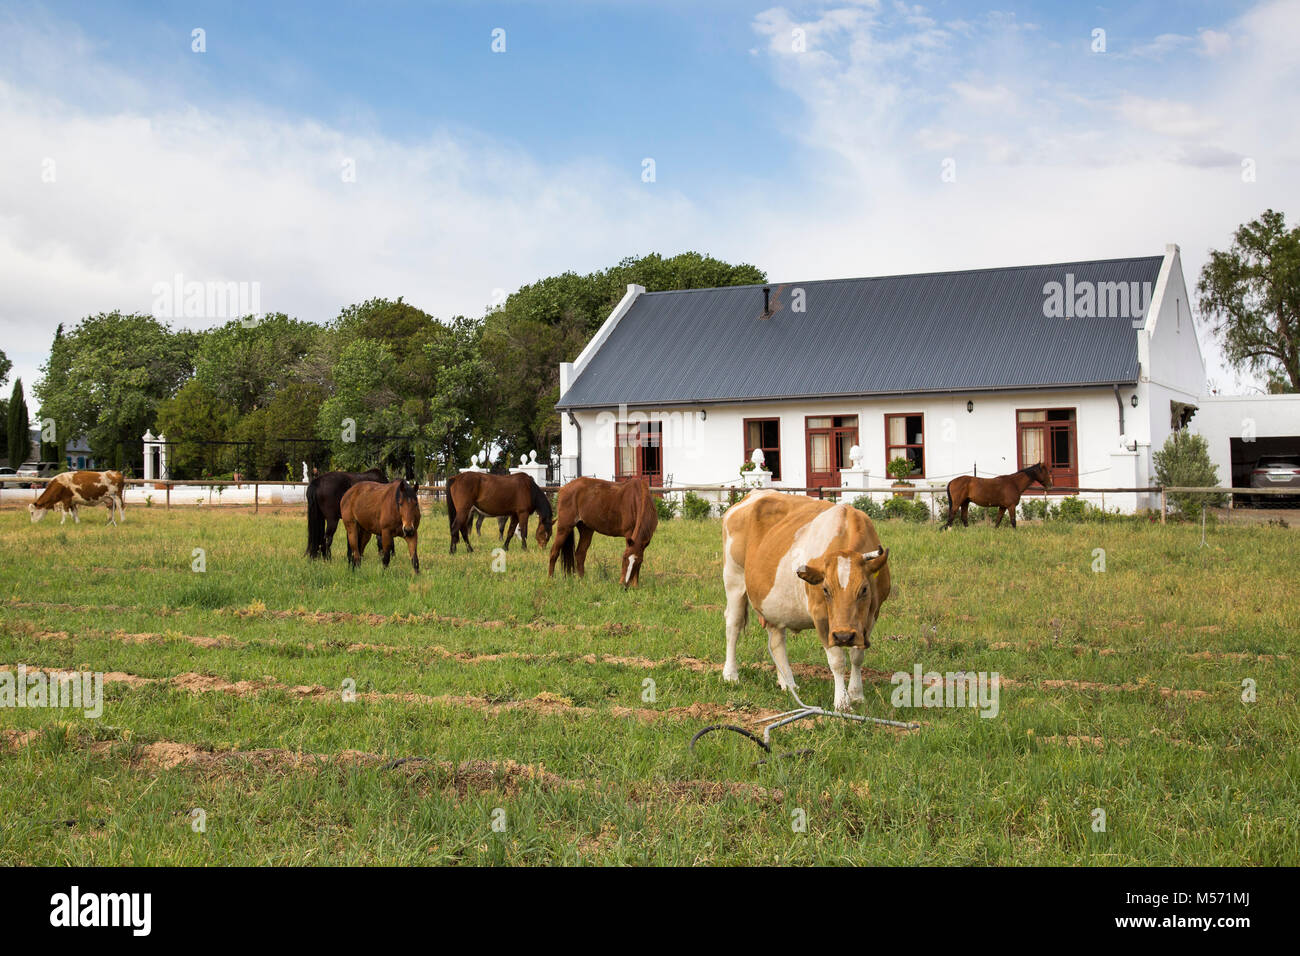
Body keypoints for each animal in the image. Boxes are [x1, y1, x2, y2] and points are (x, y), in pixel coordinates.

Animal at [722, 494, 894, 712]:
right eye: (825, 589)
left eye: (864, 589)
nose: (843, 636)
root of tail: (752, 495)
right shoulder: (821, 616)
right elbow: (837, 660)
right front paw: (842, 702)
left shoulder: (872, 615)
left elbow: (857, 655)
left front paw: (857, 695)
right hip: (734, 580)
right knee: (733, 625)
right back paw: (731, 675)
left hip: (773, 603)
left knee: (777, 640)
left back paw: (788, 683)